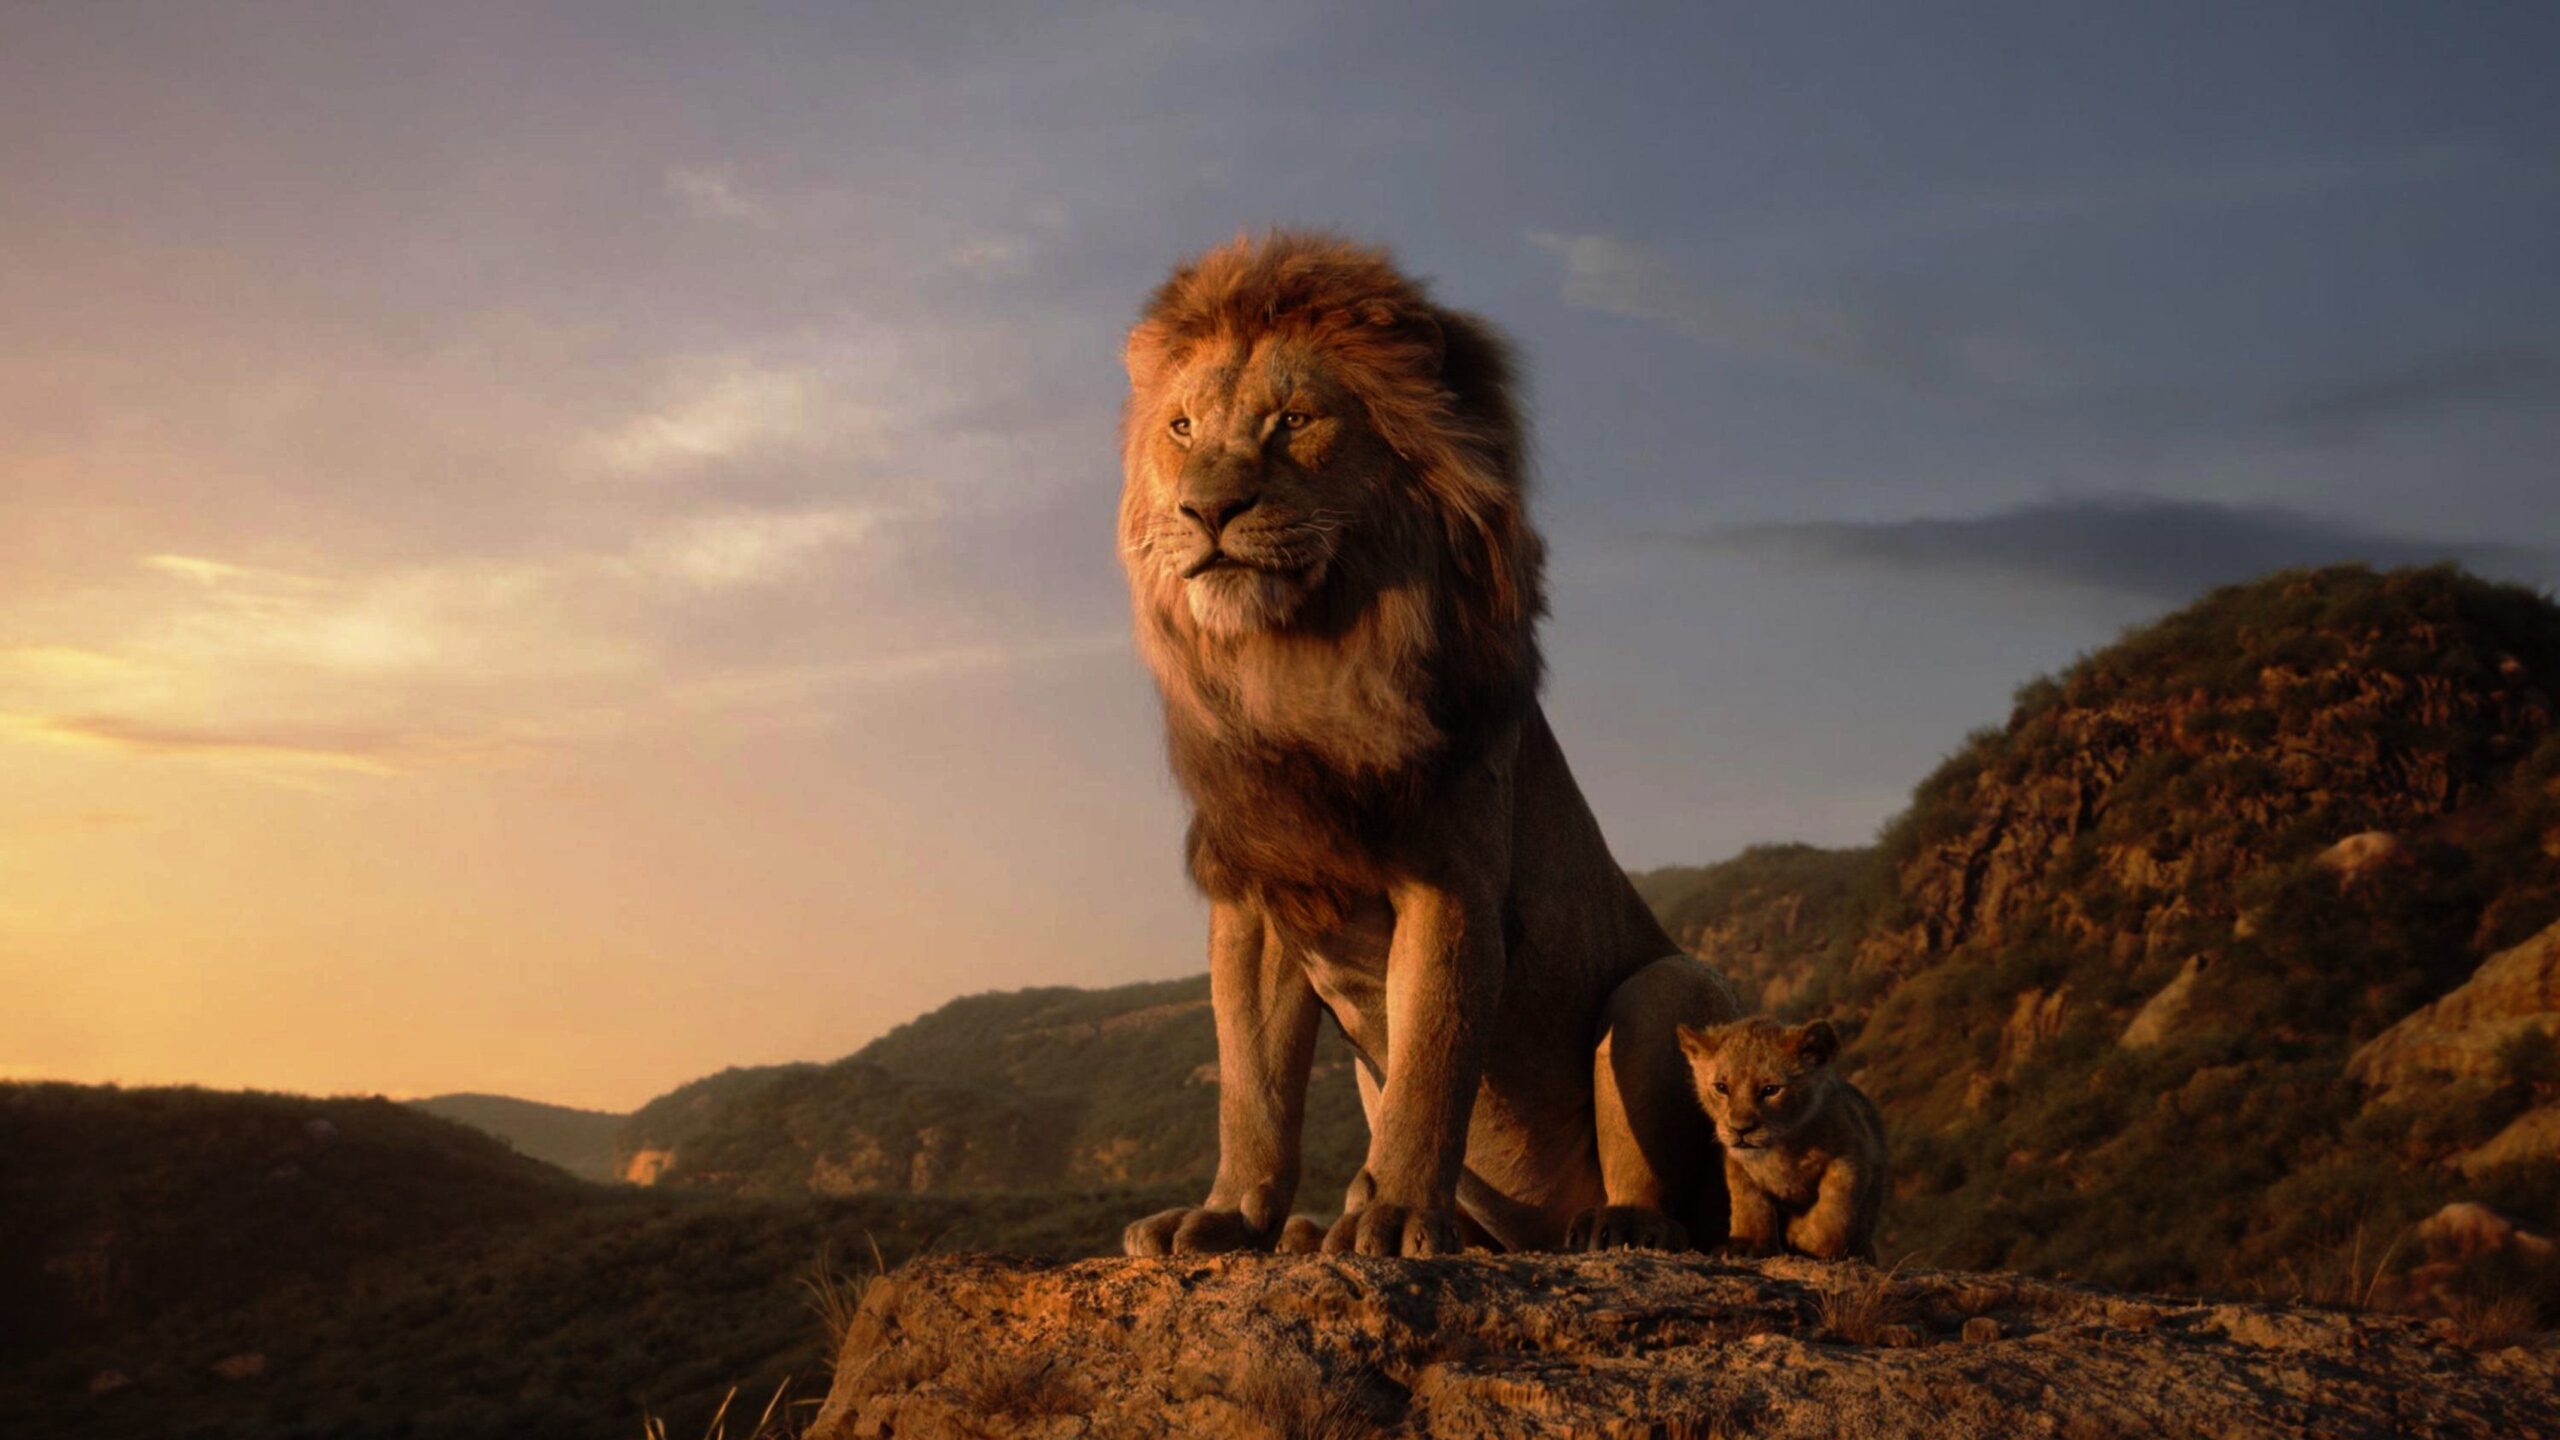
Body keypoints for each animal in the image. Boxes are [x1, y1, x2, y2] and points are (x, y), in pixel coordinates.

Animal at [1114, 231, 1744, 1258]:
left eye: (1293, 421)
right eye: (1181, 429)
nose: (1206, 511)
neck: (1298, 663)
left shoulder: (1451, 884)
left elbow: (1431, 1066)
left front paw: (1399, 1215)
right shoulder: (1258, 895)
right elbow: (1252, 1088)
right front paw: (1228, 1217)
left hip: (1668, 987)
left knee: (1670, 1195)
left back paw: (1612, 1226)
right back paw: (1315, 1230)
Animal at [1678, 1017, 1886, 1262]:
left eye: (1770, 1090)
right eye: (1721, 1087)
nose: (1741, 1129)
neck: (1781, 1149)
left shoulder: (1851, 1156)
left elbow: (1834, 1208)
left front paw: (1807, 1240)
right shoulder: (1738, 1164)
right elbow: (1749, 1203)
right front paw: (1746, 1245)